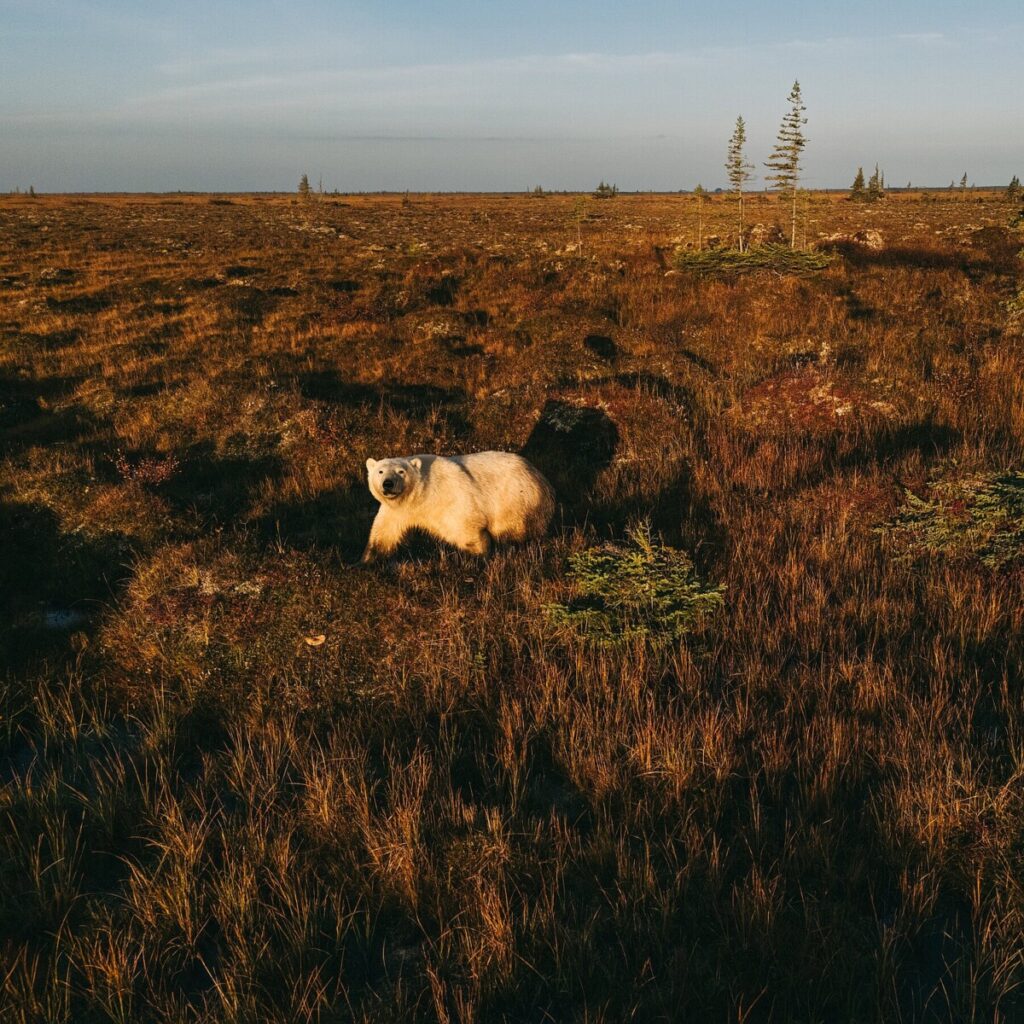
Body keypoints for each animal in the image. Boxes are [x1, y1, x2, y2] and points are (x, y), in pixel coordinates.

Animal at [362, 451, 555, 561]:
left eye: (401, 471)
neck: (419, 498)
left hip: (517, 500)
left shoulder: (448, 498)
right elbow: (384, 534)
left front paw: (480, 556)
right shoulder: (397, 511)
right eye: (380, 471)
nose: (388, 483)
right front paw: (367, 561)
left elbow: (465, 528)